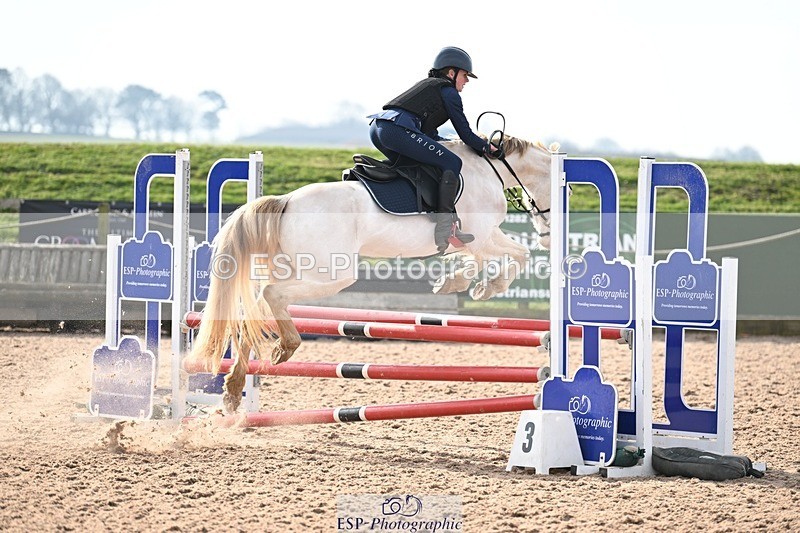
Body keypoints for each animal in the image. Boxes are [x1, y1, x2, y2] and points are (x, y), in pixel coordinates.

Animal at [188, 135, 558, 412]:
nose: (548, 236)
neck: (489, 170)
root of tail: (286, 201)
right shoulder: (480, 237)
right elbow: (515, 255)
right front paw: (485, 286)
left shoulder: (481, 238)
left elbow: (501, 255)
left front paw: (458, 281)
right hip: (333, 272)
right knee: (270, 296)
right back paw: (285, 348)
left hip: (297, 267)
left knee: (251, 313)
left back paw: (233, 389)